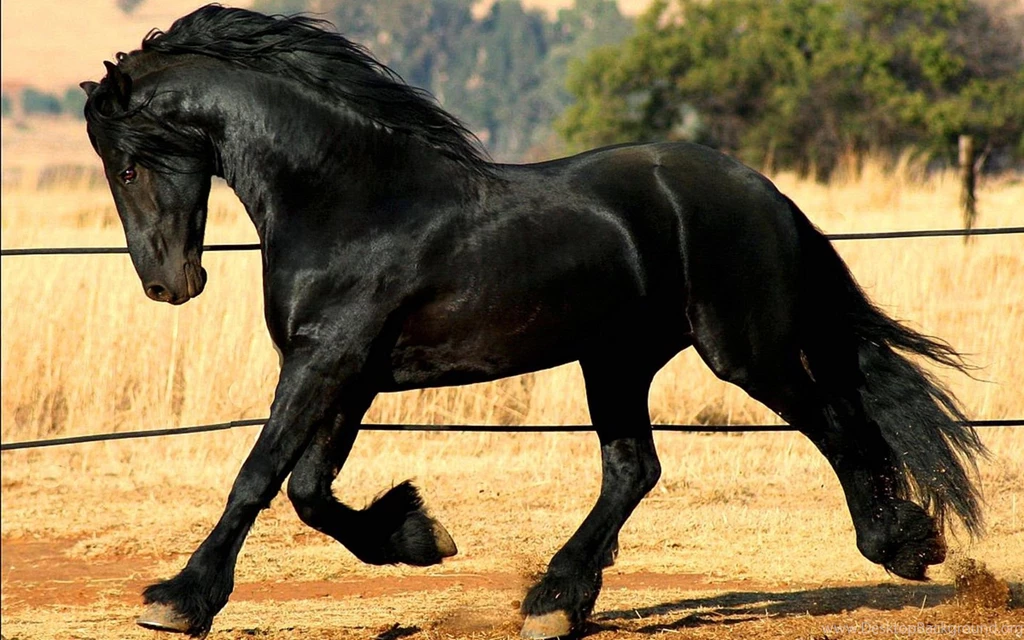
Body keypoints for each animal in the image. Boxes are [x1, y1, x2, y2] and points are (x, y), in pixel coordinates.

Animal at [80, 6, 984, 638]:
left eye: (127, 164)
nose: (168, 284)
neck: (351, 198)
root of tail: (764, 192)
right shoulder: (349, 373)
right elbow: (309, 490)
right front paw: (419, 534)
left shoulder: (325, 362)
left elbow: (259, 475)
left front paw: (178, 600)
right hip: (616, 359)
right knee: (634, 469)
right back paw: (557, 599)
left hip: (742, 350)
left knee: (835, 423)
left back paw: (904, 544)